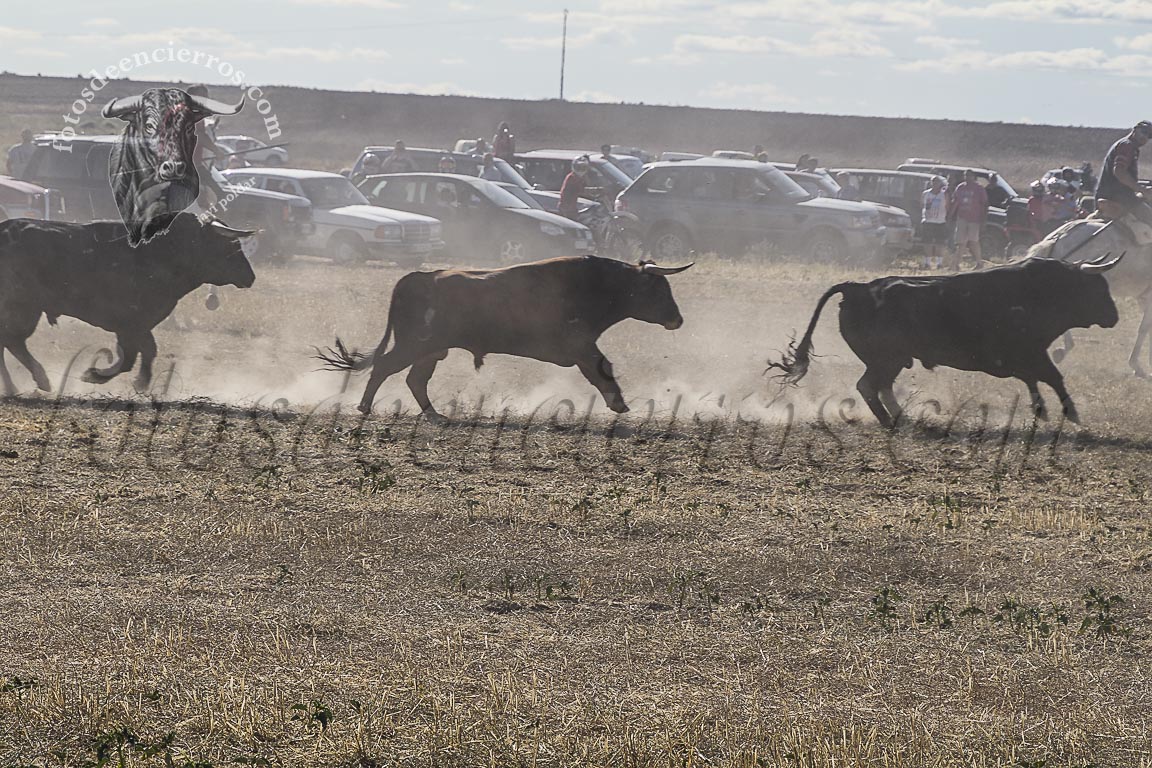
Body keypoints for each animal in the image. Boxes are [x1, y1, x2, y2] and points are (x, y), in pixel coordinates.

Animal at [0, 213, 256, 394]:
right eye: (230, 245)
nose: (250, 277)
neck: (163, 252)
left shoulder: (136, 326)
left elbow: (143, 352)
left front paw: (137, 381)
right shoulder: (131, 323)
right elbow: (134, 355)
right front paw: (98, 375)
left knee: (11, 342)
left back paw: (22, 385)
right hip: (23, 310)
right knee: (11, 341)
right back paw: (29, 383)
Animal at [316, 256, 693, 419]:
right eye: (659, 289)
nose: (677, 319)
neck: (596, 284)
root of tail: (418, 277)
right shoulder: (582, 346)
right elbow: (602, 369)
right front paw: (619, 404)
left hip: (431, 350)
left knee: (414, 379)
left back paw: (436, 415)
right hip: (415, 344)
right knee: (384, 367)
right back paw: (364, 407)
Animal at [767, 256, 1123, 428]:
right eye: (1097, 288)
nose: (1114, 316)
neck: (1041, 291)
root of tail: (858, 288)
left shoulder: (1028, 356)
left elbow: (1037, 380)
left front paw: (1044, 411)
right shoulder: (1031, 352)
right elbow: (1053, 378)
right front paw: (1071, 414)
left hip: (892, 360)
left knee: (880, 386)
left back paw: (901, 417)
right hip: (886, 358)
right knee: (868, 385)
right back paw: (890, 421)